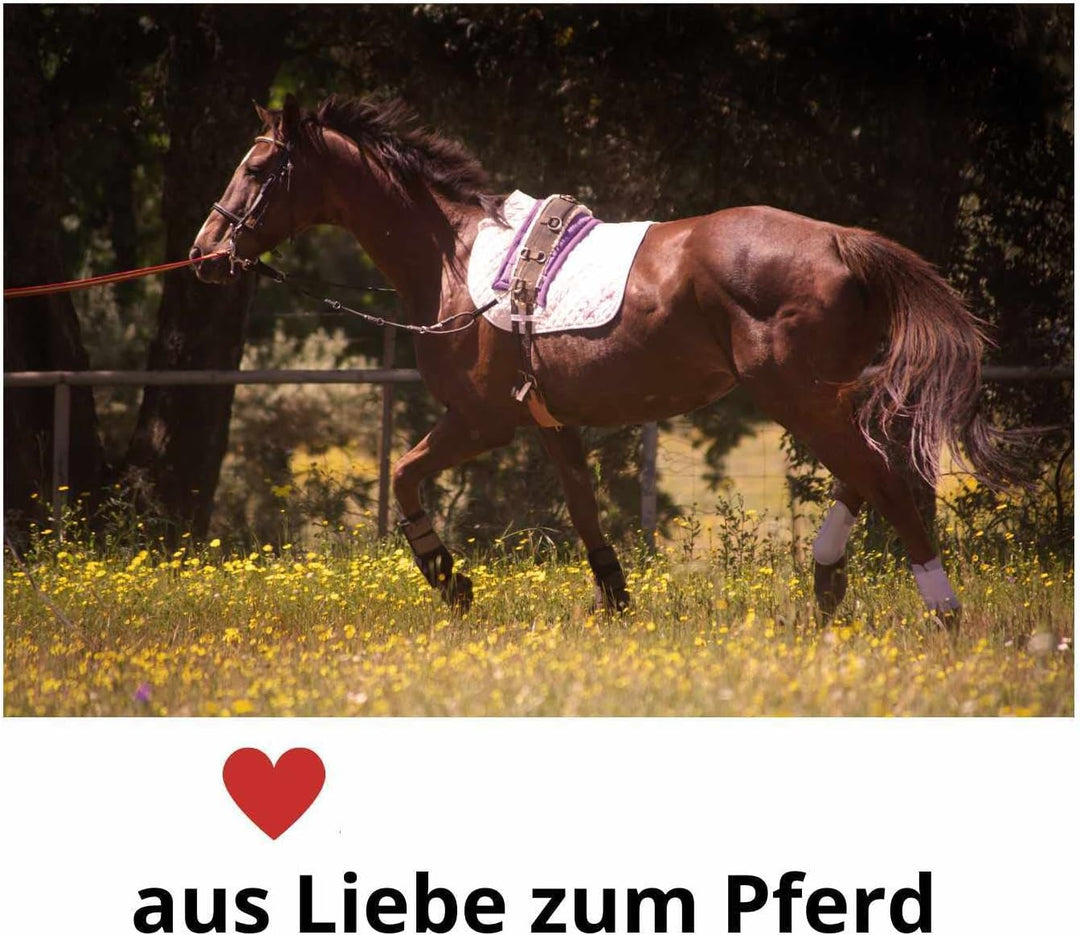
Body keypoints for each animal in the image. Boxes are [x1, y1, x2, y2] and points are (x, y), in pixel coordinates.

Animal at [190, 93, 1024, 625]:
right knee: (873, 467)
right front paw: (614, 597)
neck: (453, 260)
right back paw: (827, 577)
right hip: (825, 396)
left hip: (799, 397)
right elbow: (584, 507)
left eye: (258, 170)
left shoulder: (481, 422)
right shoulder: (549, 422)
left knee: (884, 476)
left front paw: (449, 579)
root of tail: (840, 239)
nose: (204, 253)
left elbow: (402, 475)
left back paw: (941, 610)